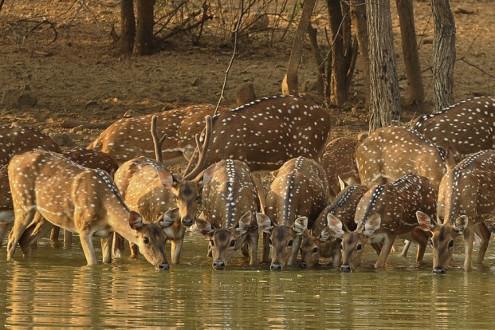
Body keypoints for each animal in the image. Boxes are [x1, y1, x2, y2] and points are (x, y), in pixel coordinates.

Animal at [6, 150, 170, 270]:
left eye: (165, 238)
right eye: (145, 239)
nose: (164, 265)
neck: (106, 212)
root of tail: (13, 160)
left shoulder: (107, 233)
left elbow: (106, 261)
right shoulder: (83, 228)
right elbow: (92, 263)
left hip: (47, 216)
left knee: (26, 238)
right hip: (22, 202)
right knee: (12, 238)